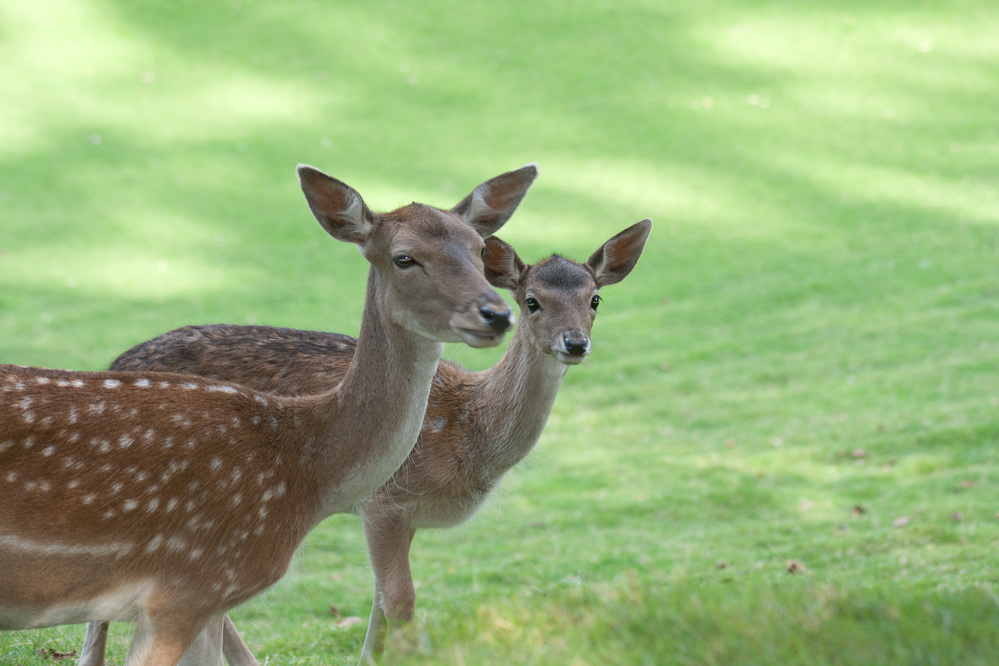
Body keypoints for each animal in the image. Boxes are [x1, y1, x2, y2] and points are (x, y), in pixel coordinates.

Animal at [0, 162, 540, 664]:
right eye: (404, 258)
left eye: (478, 249)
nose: (496, 313)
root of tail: (118, 358)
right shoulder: (186, 588)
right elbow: (398, 599)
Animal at [80, 219, 656, 664]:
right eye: (532, 301)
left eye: (595, 298)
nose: (575, 343)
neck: (468, 432)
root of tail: (115, 360)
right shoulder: (385, 501)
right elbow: (399, 600)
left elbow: (379, 606)